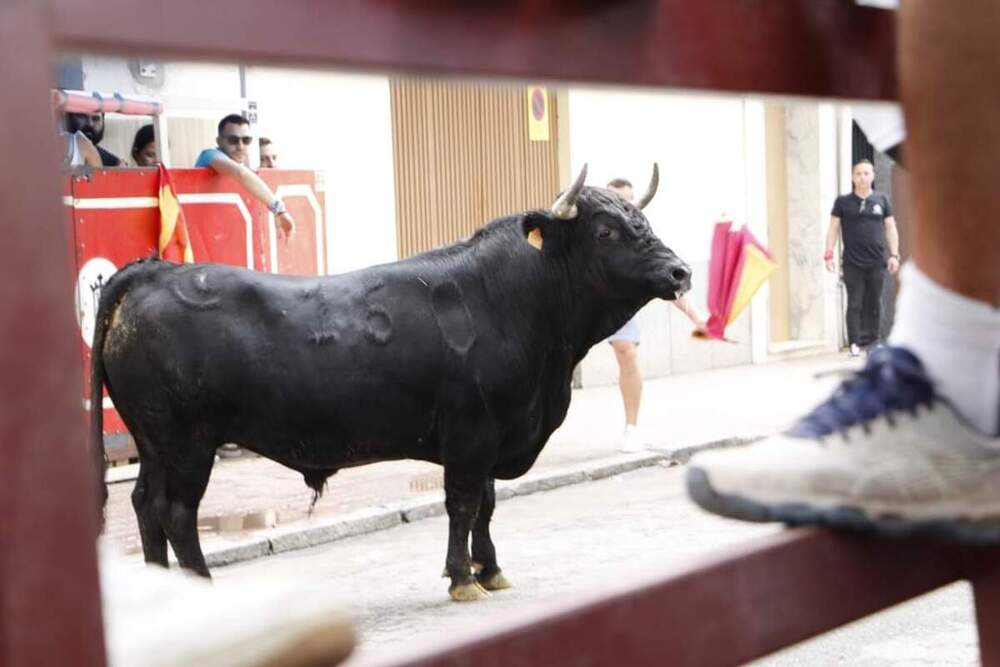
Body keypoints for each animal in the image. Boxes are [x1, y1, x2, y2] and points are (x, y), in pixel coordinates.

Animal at [90, 164, 692, 604]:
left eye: (641, 221)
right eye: (606, 230)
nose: (681, 272)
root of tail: (154, 271)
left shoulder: (492, 435)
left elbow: (488, 505)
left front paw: (491, 569)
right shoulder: (471, 436)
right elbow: (464, 504)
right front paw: (462, 579)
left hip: (154, 443)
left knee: (146, 505)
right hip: (186, 441)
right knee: (175, 511)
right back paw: (201, 586)